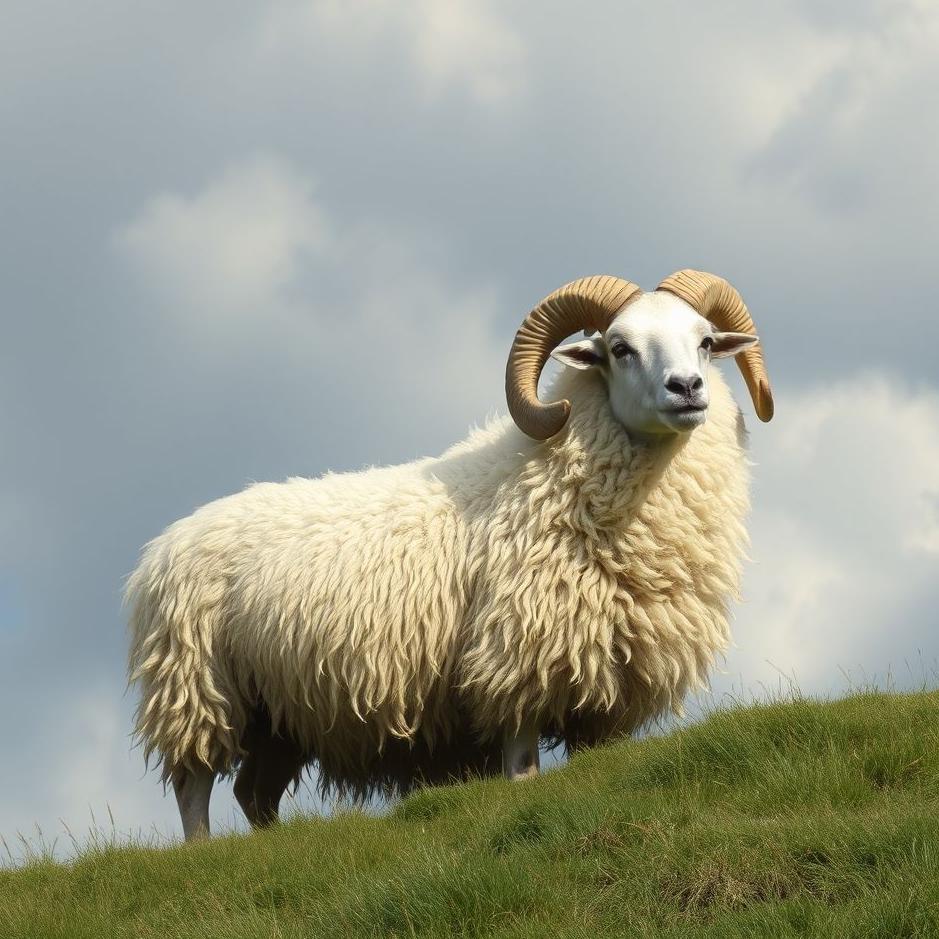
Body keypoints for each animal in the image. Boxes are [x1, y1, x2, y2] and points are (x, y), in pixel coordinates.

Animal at [126, 269, 773, 840]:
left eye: (705, 341)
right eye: (620, 348)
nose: (687, 389)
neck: (549, 476)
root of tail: (163, 544)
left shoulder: (604, 685)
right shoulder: (515, 663)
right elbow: (523, 771)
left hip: (281, 711)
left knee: (253, 792)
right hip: (198, 686)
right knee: (194, 785)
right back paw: (203, 852)